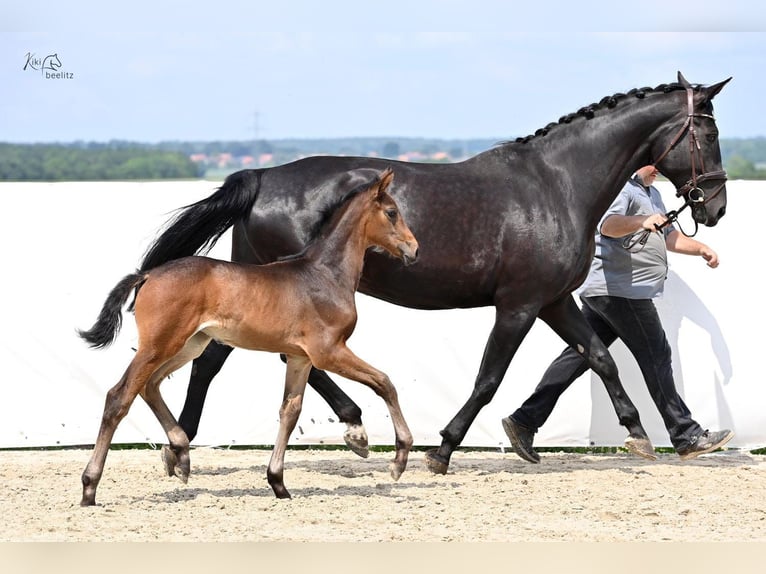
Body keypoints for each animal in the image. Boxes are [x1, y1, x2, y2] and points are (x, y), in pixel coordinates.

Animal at [78, 169, 420, 506]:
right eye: (392, 212)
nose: (414, 249)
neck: (325, 274)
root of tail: (147, 274)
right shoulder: (328, 352)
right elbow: (384, 382)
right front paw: (399, 459)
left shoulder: (300, 358)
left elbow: (290, 412)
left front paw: (278, 483)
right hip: (158, 345)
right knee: (119, 397)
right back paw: (90, 487)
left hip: (188, 345)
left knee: (150, 386)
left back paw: (182, 455)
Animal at [138, 73, 732, 476]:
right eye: (707, 134)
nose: (716, 207)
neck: (557, 184)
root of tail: (260, 176)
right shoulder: (519, 305)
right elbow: (489, 378)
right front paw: (442, 449)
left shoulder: (554, 301)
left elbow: (599, 356)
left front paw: (640, 435)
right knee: (265, 357)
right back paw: (343, 426)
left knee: (219, 358)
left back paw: (184, 443)